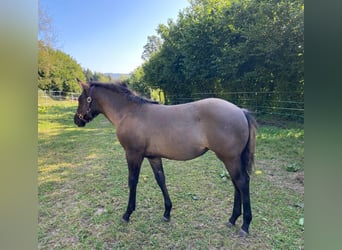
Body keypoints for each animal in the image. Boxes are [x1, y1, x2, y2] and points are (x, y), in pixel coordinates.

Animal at [75, 80, 256, 236]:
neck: (129, 112)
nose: (77, 120)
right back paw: (232, 219)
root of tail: (241, 111)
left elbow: (132, 181)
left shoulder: (133, 154)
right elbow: (161, 179)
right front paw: (167, 212)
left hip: (230, 158)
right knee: (236, 184)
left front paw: (127, 214)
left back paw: (245, 225)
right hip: (231, 159)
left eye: (80, 98)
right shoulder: (153, 156)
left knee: (242, 182)